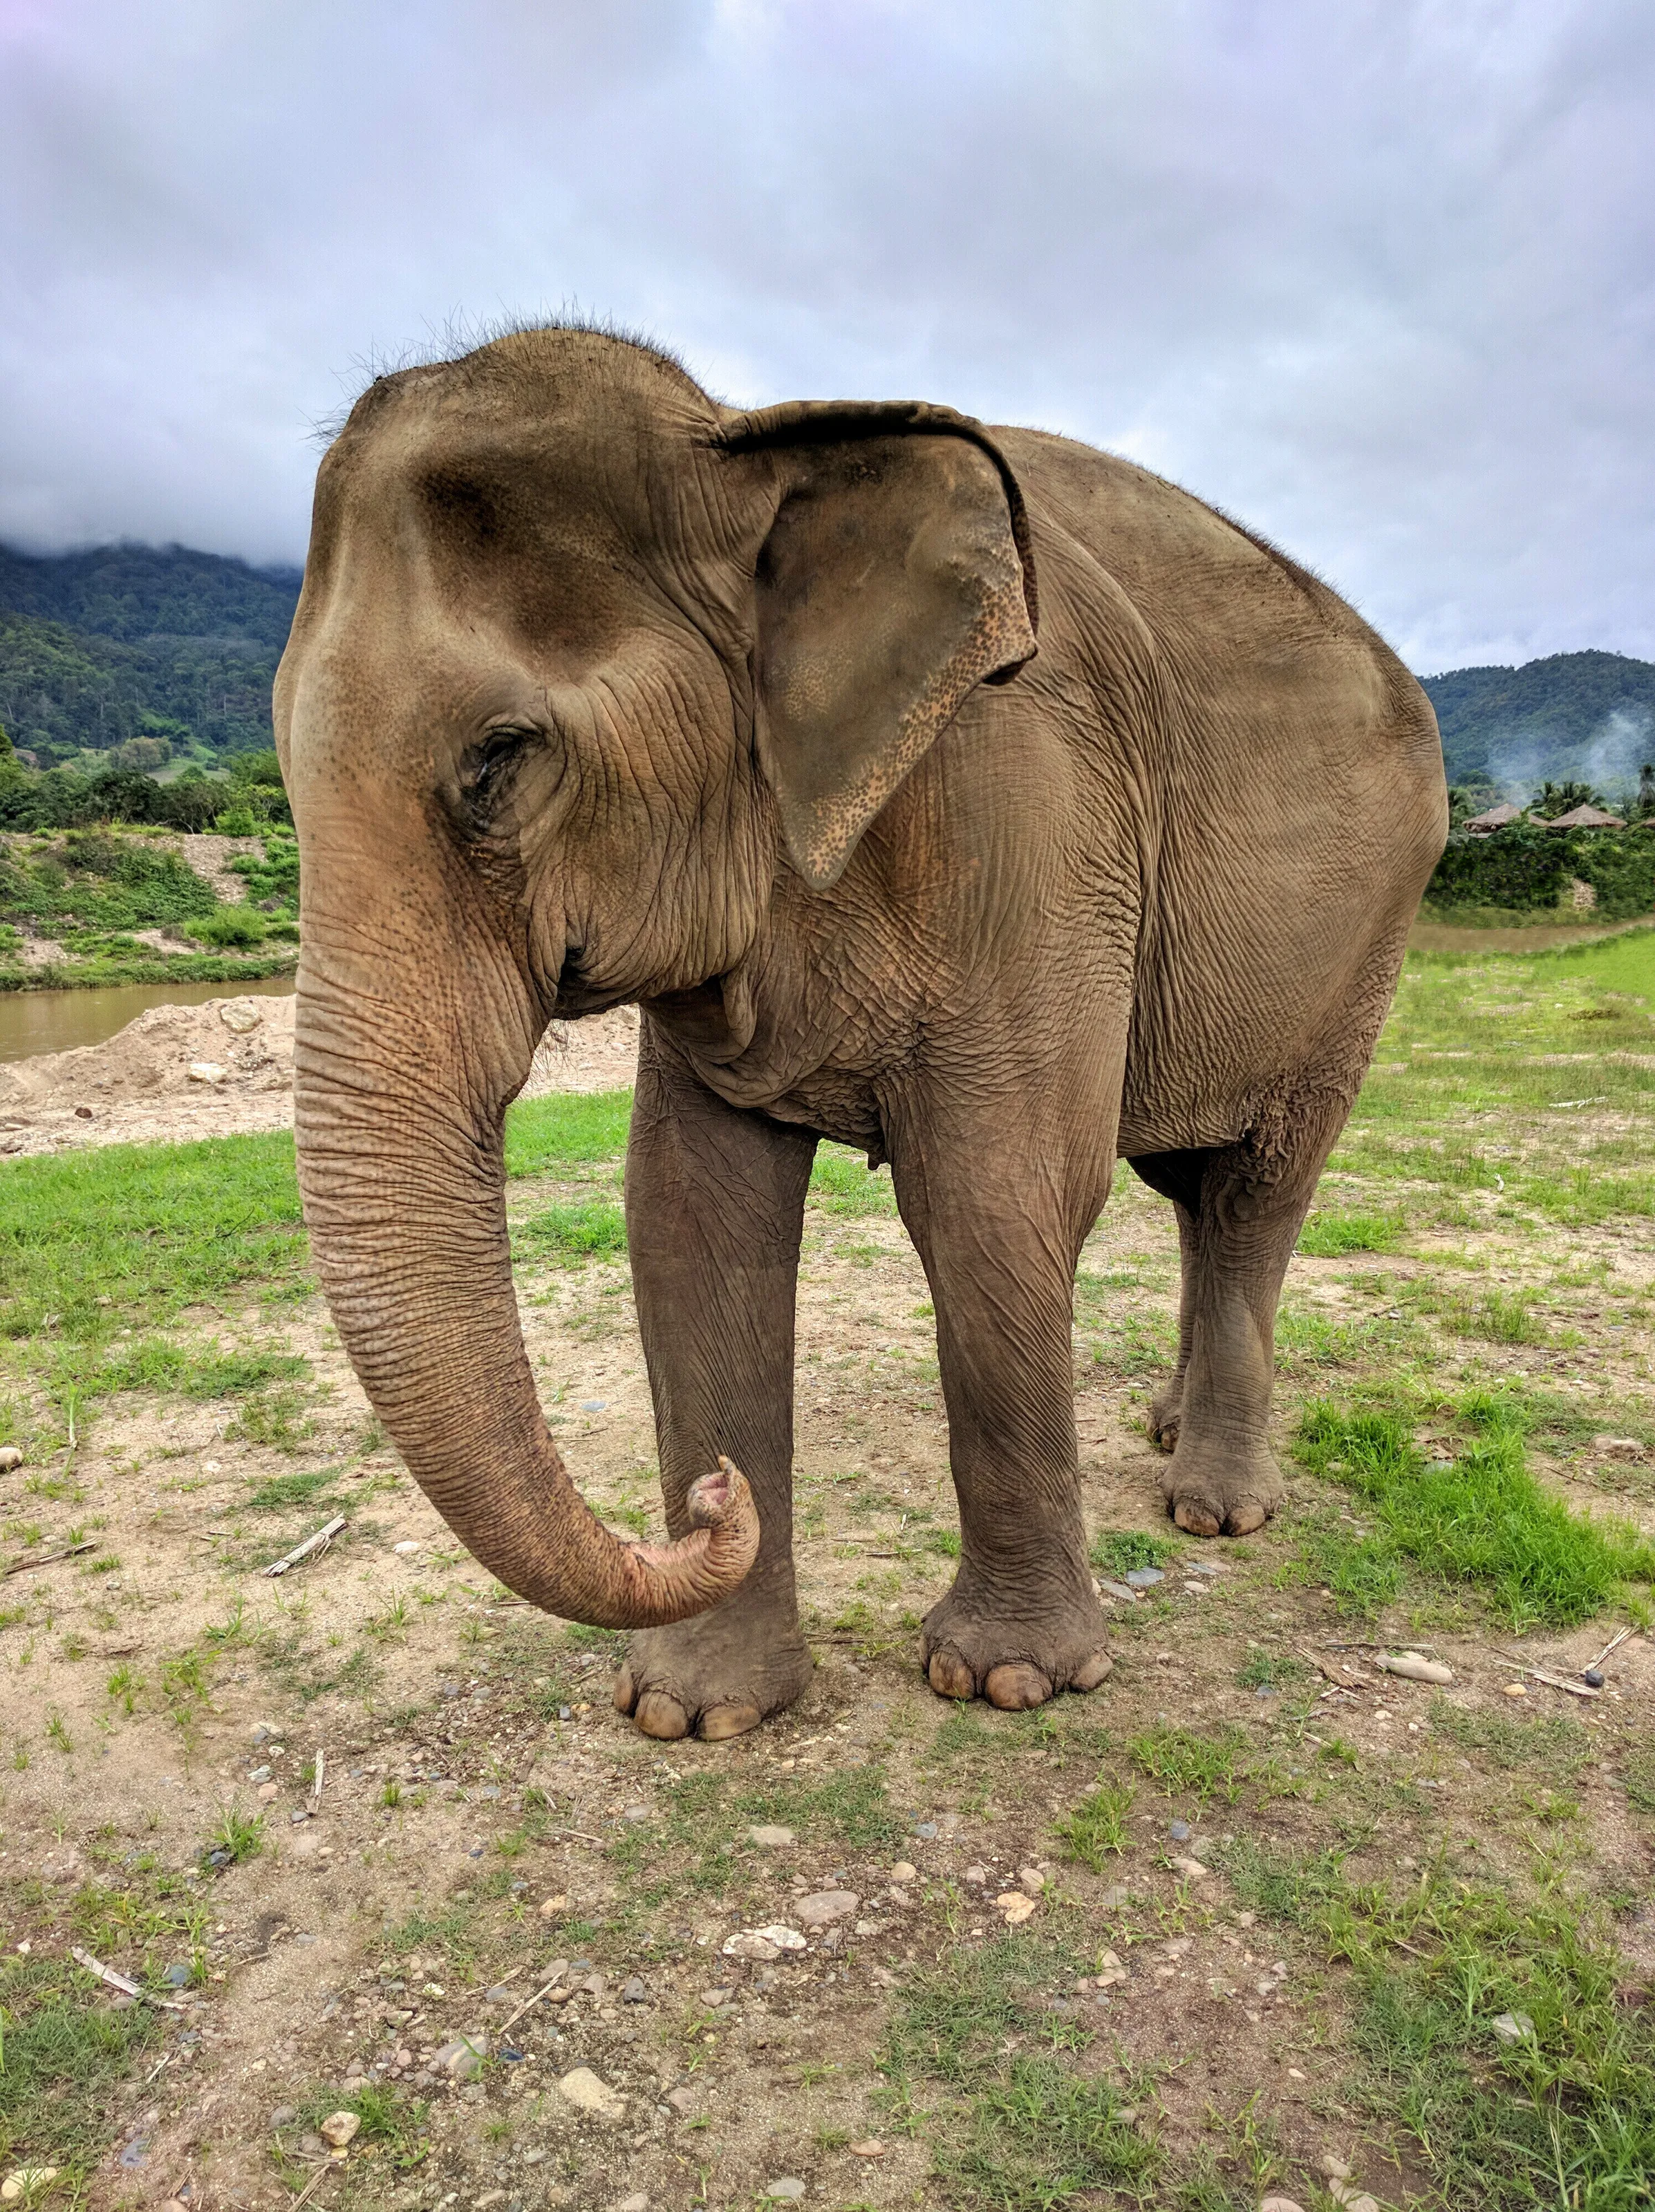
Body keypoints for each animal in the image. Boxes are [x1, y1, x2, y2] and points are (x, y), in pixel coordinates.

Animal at [274, 323, 1447, 1743]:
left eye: (498, 760)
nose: (709, 1501)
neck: (744, 436)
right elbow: (688, 1213)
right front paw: (694, 1715)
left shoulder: (1035, 816)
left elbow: (995, 1196)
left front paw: (1006, 1682)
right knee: (1188, 1182)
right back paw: (1166, 1431)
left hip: (1368, 937)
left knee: (1255, 1188)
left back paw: (1215, 1508)